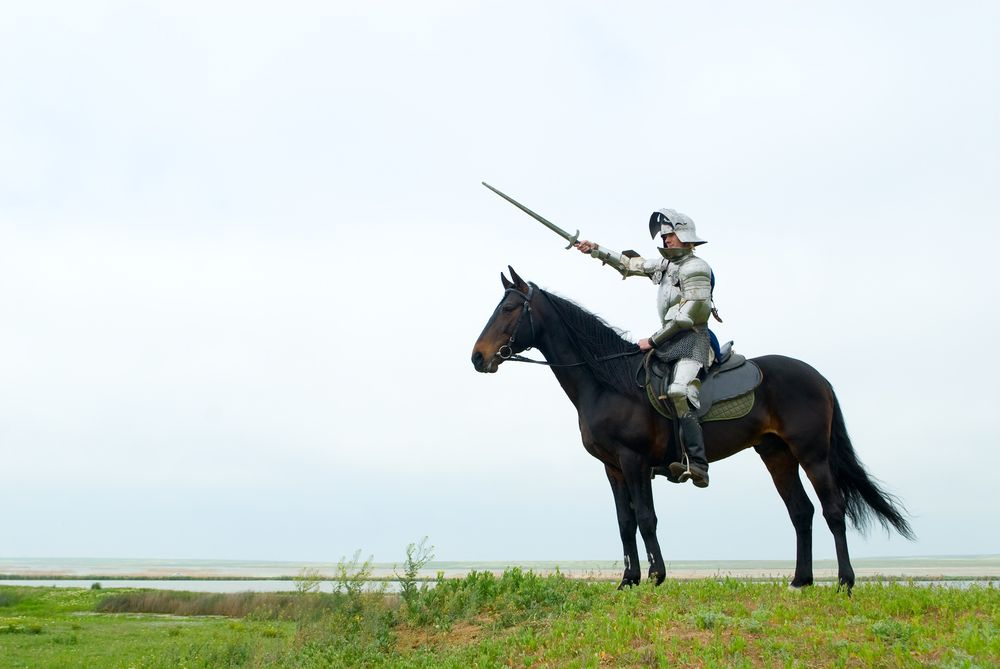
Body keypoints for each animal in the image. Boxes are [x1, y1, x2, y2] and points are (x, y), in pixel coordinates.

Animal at [468, 266, 916, 588]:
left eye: (508, 309)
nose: (478, 357)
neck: (607, 380)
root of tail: (819, 379)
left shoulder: (633, 462)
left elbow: (646, 518)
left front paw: (655, 577)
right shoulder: (612, 468)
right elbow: (625, 522)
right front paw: (628, 580)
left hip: (812, 454)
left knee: (833, 509)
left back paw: (844, 581)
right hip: (777, 455)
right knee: (800, 511)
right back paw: (800, 581)